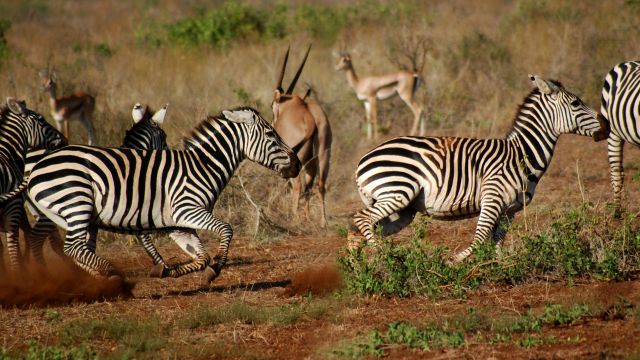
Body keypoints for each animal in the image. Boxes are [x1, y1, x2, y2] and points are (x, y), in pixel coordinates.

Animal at [19, 107, 300, 282]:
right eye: (271, 134)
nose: (297, 164)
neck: (203, 166)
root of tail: (38, 164)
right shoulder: (187, 209)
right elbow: (226, 230)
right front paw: (215, 270)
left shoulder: (179, 224)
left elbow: (201, 256)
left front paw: (169, 271)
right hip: (77, 204)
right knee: (72, 247)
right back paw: (110, 273)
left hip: (70, 214)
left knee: (75, 249)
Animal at [272, 46, 332, 228]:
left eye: (272, 106)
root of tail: (310, 117)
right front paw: (307, 217)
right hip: (323, 156)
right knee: (318, 184)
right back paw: (322, 221)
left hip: (295, 161)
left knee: (298, 185)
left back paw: (294, 218)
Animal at [352, 74, 608, 262]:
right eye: (576, 103)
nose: (606, 125)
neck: (521, 153)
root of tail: (362, 162)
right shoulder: (492, 198)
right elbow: (480, 238)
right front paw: (453, 263)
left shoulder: (509, 210)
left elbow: (497, 242)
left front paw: (498, 269)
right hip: (398, 191)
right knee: (362, 219)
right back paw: (385, 257)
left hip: (403, 209)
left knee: (358, 228)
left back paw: (357, 267)